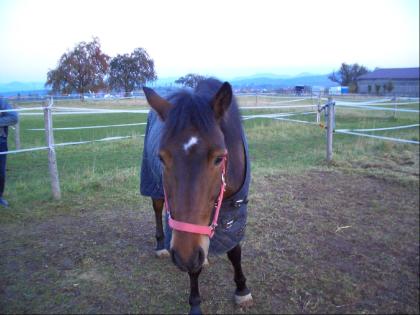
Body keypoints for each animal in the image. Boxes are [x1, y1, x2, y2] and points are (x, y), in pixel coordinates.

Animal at [141, 78, 253, 314]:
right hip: (153, 185)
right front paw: (195, 304)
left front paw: (242, 290)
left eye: (219, 158)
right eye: (161, 158)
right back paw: (160, 246)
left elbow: (234, 250)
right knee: (157, 208)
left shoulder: (235, 208)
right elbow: (193, 265)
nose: (182, 256)